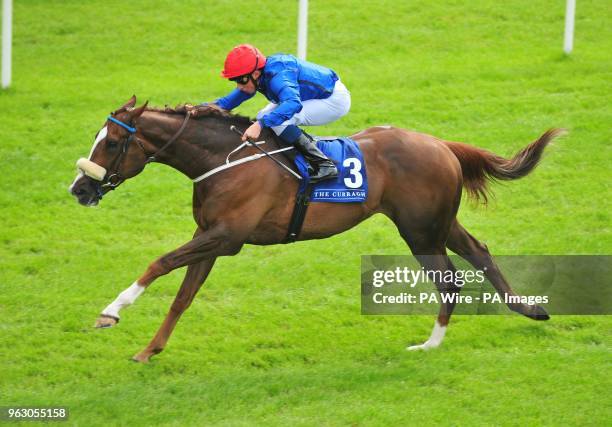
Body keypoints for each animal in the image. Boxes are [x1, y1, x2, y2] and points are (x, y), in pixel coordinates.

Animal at [69, 96, 560, 362]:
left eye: (113, 142)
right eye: (98, 138)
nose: (79, 189)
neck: (222, 160)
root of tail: (440, 143)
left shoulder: (226, 238)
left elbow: (159, 263)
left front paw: (111, 312)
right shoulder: (209, 237)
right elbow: (182, 298)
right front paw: (149, 350)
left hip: (420, 231)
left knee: (450, 279)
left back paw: (430, 344)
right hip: (437, 221)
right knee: (480, 251)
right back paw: (529, 309)